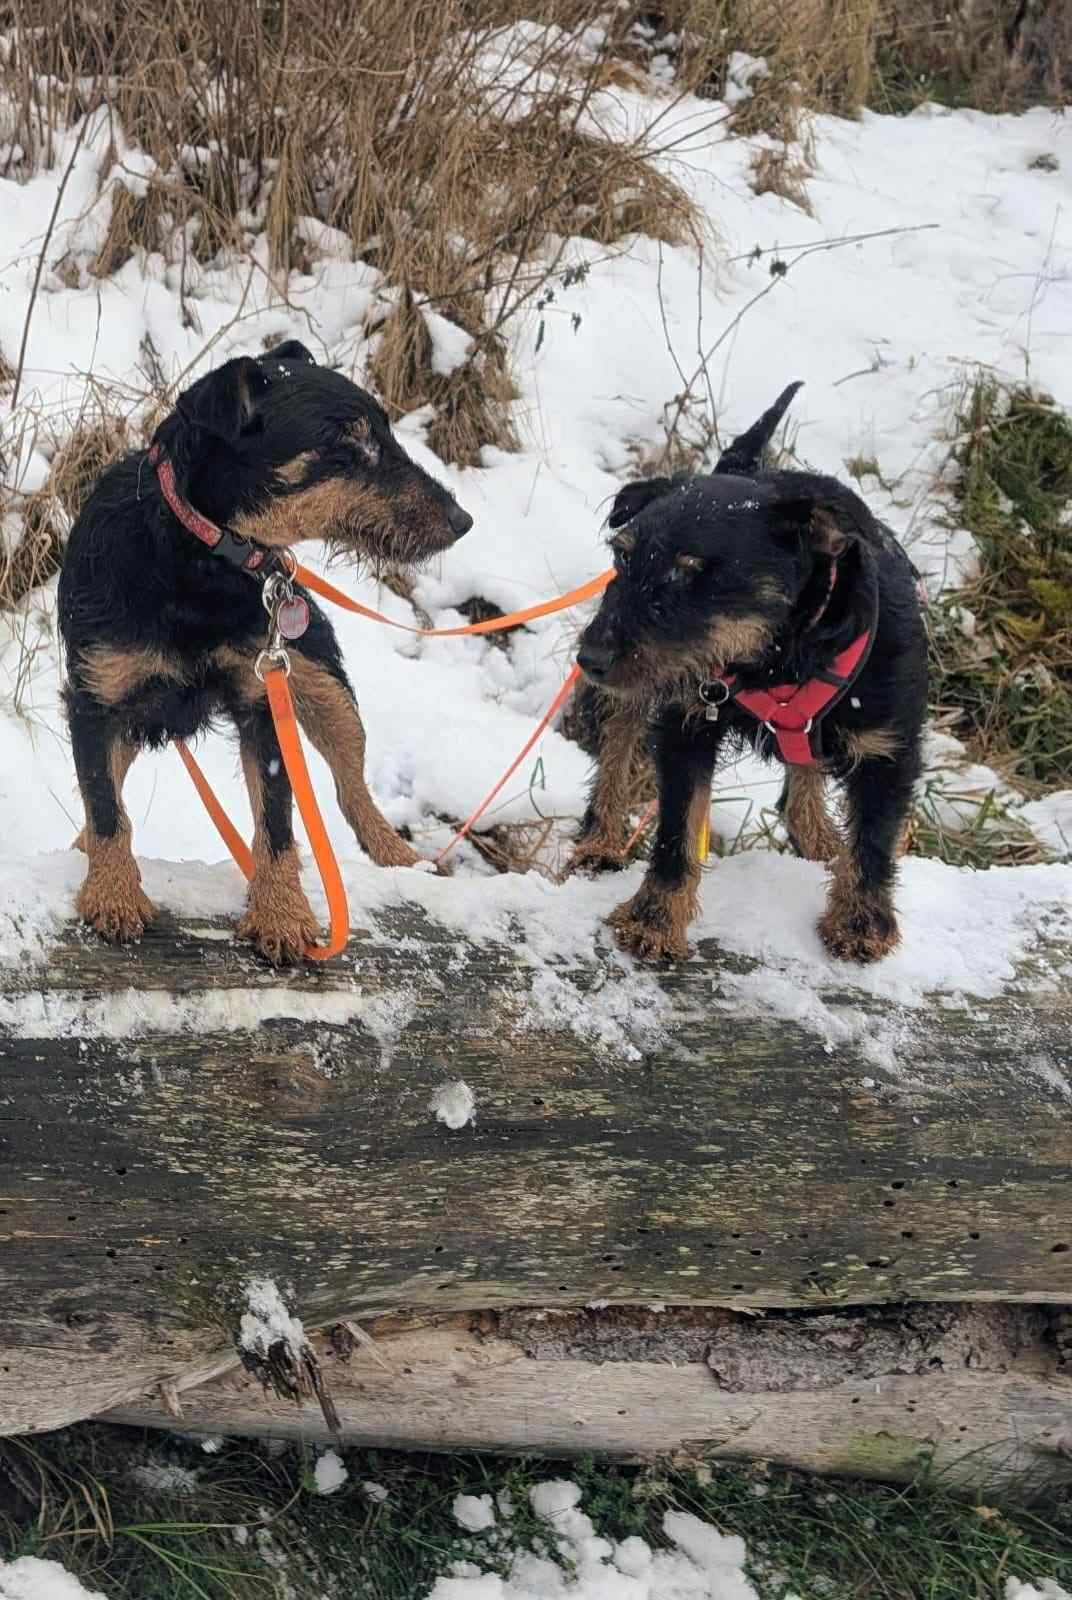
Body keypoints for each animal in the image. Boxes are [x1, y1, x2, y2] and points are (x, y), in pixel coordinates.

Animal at [58, 341, 472, 964]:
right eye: (349, 441)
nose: (462, 520)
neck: (200, 555)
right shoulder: (94, 699)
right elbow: (106, 807)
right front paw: (112, 893)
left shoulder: (264, 699)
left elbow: (276, 817)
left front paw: (282, 914)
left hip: (324, 685)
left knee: (352, 790)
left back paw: (399, 858)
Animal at [572, 383, 927, 964]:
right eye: (622, 560)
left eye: (688, 573)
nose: (590, 659)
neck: (777, 658)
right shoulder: (689, 725)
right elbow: (676, 829)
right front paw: (655, 917)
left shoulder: (888, 749)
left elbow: (874, 840)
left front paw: (861, 922)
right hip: (635, 691)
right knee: (618, 741)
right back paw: (600, 839)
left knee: (803, 776)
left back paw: (819, 838)